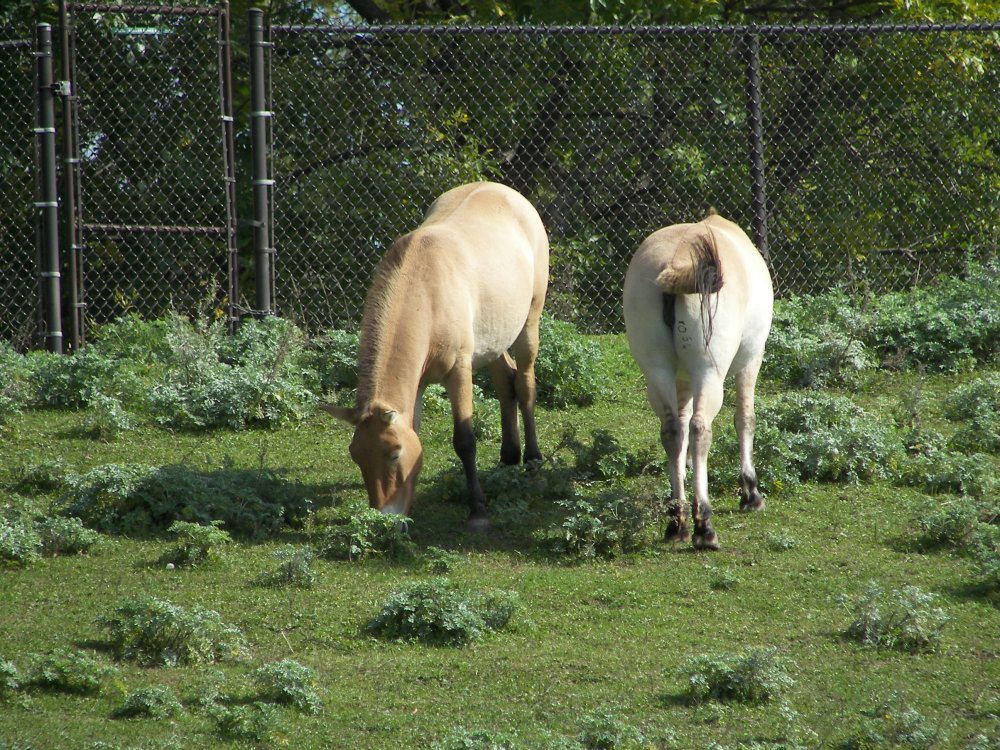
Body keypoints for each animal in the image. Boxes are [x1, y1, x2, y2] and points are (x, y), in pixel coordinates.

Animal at [324, 182, 552, 536]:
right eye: (356, 456)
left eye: (393, 454)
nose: (384, 520)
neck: (426, 291)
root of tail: (511, 194)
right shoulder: (416, 385)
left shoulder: (458, 371)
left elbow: (465, 440)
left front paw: (478, 511)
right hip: (494, 339)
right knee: (506, 382)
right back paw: (508, 459)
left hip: (529, 321)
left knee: (525, 383)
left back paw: (532, 462)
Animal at [624, 212, 772, 552]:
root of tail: (677, 261)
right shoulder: (751, 359)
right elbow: (745, 419)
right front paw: (751, 492)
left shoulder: (683, 382)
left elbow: (681, 426)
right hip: (710, 372)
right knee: (701, 427)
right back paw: (704, 524)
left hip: (657, 371)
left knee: (673, 430)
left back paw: (677, 521)